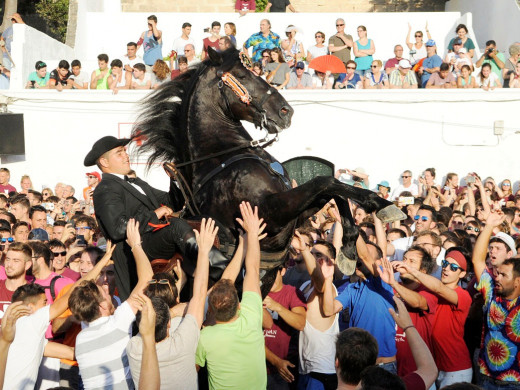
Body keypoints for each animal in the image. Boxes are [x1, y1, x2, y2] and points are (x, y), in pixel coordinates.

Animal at [132, 48, 404, 280]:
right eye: (242, 75)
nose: (286, 111)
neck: (221, 157)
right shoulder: (268, 213)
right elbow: (324, 181)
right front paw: (380, 204)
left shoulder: (296, 212)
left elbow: (334, 189)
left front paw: (349, 247)